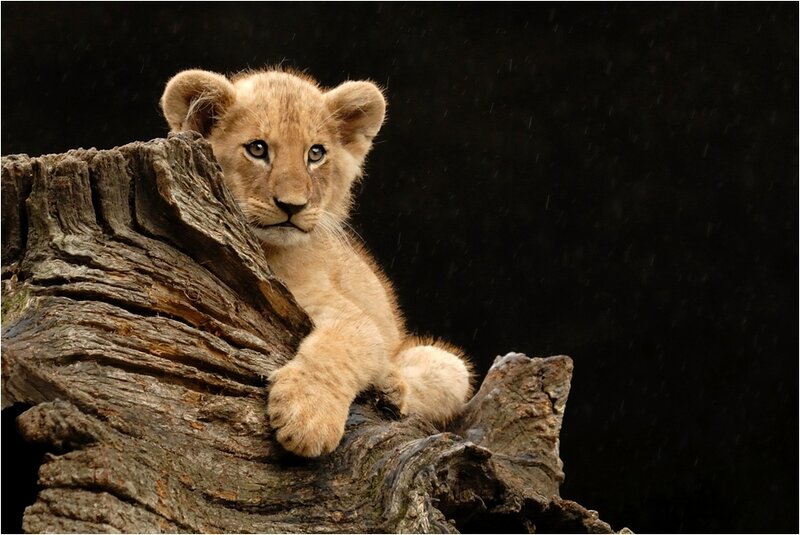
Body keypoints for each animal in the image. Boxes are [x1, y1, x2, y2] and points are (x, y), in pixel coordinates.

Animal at [161, 68, 472, 457]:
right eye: (257, 149)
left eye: (316, 153)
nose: (292, 206)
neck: (270, 251)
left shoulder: (350, 314)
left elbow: (339, 347)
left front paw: (307, 418)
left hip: (446, 362)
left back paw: (388, 384)